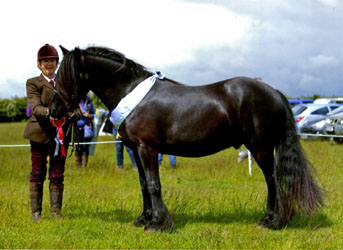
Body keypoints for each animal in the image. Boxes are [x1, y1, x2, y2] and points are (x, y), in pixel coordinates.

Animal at [49, 46, 326, 231]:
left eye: (68, 76)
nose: (54, 110)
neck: (132, 93)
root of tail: (274, 92)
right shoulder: (136, 150)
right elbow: (143, 185)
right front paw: (144, 219)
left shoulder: (147, 149)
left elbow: (154, 185)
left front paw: (158, 223)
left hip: (261, 149)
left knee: (274, 181)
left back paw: (272, 221)